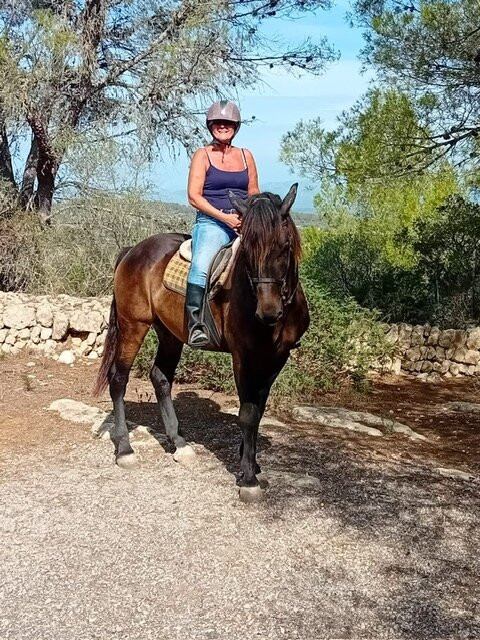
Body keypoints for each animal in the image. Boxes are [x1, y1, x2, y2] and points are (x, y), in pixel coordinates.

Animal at [94, 183, 310, 502]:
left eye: (285, 246)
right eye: (247, 250)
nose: (268, 312)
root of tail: (133, 250)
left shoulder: (276, 357)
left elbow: (258, 410)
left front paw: (252, 464)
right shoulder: (243, 356)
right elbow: (247, 414)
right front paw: (248, 479)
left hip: (169, 333)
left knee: (160, 378)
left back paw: (179, 443)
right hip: (134, 325)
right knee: (119, 379)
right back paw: (125, 449)